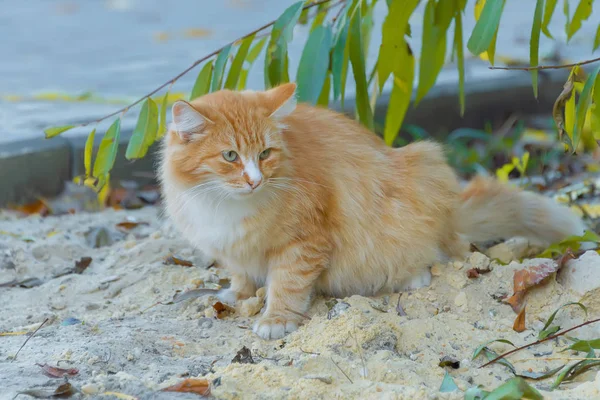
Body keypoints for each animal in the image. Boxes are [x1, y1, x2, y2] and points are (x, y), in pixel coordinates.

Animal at [159, 83, 584, 340]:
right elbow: (241, 274)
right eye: (230, 156)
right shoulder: (231, 247)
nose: (254, 180)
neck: (226, 205)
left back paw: (411, 276)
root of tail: (450, 211)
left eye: (264, 154)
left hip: (421, 170)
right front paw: (236, 293)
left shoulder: (303, 243)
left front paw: (276, 318)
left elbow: (288, 285)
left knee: (444, 251)